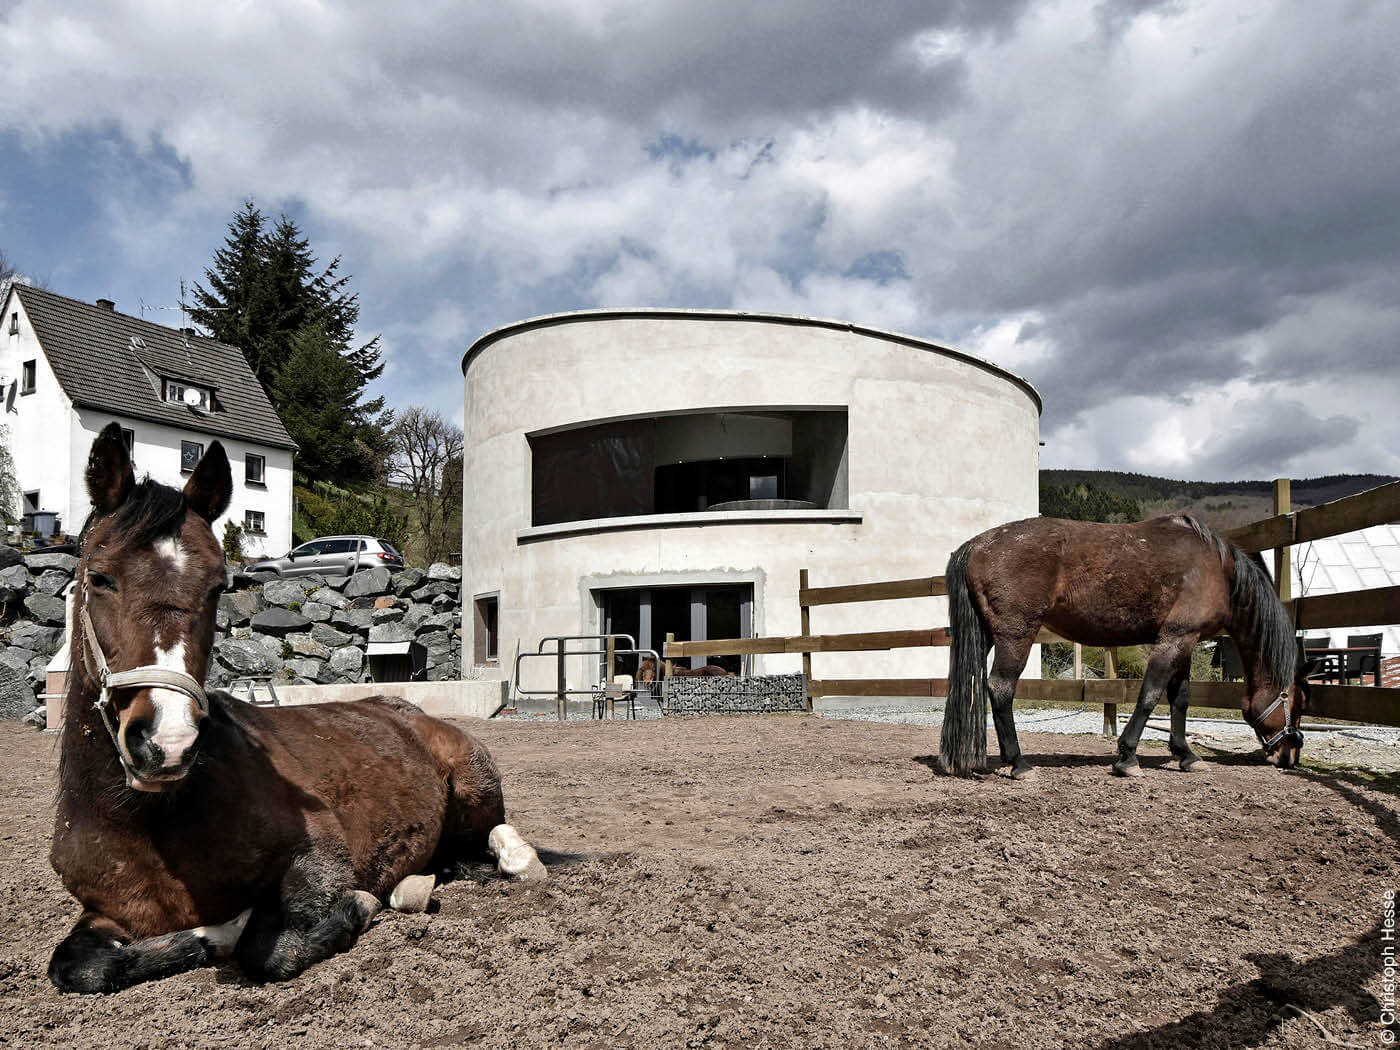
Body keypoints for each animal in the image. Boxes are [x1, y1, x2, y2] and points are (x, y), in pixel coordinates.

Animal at [49, 422, 540, 996]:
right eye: (99, 578)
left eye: (218, 587)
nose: (168, 742)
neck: (149, 823)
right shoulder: (104, 911)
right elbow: (77, 966)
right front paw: (207, 937)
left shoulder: (319, 857)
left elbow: (265, 950)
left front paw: (355, 906)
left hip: (473, 780)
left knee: (493, 838)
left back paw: (514, 861)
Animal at [940, 515, 1310, 784]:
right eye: (1298, 702)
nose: (1290, 756)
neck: (1217, 569)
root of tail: (974, 545)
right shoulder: (1174, 639)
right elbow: (1150, 695)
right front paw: (1128, 758)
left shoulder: (1186, 642)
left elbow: (1180, 699)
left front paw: (1186, 755)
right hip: (1015, 635)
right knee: (1000, 688)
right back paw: (1018, 763)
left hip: (988, 634)